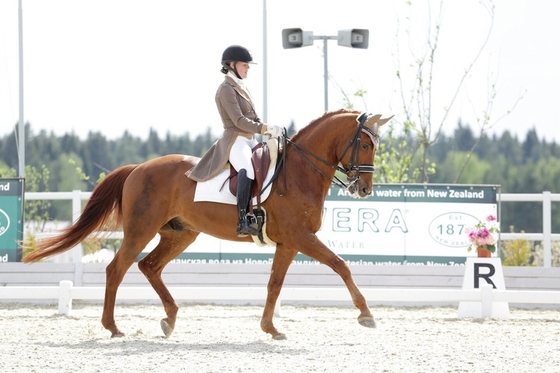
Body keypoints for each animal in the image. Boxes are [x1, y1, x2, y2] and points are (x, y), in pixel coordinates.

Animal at [23, 109, 394, 338]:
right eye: (364, 144)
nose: (364, 189)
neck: (300, 172)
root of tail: (137, 168)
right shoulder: (300, 237)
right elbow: (341, 264)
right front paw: (366, 315)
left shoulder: (288, 243)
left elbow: (275, 284)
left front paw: (270, 329)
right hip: (141, 230)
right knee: (118, 268)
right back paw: (113, 327)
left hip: (180, 234)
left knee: (149, 266)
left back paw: (170, 318)